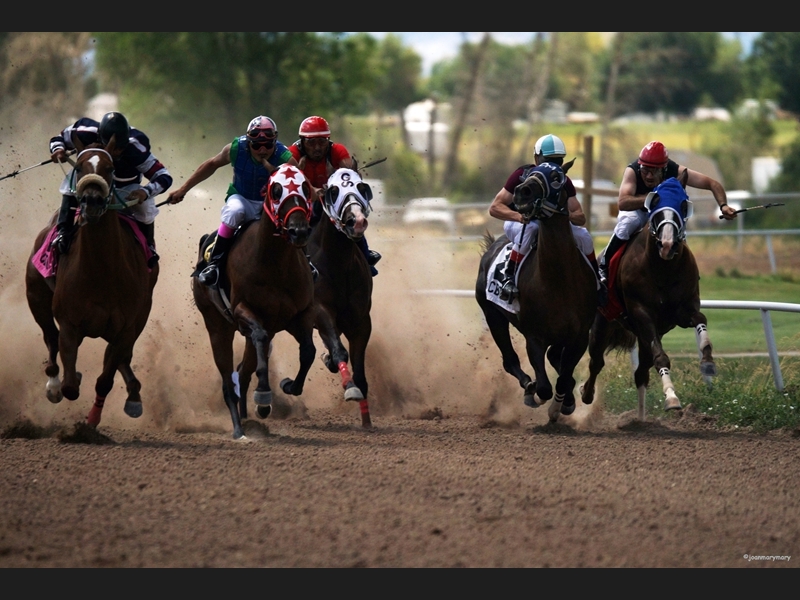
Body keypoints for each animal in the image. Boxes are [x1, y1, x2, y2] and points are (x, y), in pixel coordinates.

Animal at [24, 139, 159, 426]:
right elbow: (70, 386)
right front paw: (64, 383)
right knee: (51, 338)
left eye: (110, 168)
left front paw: (93, 419)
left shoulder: (124, 328)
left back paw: (133, 395)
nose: (93, 202)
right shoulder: (69, 323)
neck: (101, 272)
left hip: (141, 315)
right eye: (79, 166)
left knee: (123, 356)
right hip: (36, 298)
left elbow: (105, 379)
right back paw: (53, 383)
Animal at [193, 164, 316, 440]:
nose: (299, 231)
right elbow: (260, 339)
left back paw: (248, 418)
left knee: (242, 371)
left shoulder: (296, 316)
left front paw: (289, 385)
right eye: (276, 190)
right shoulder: (244, 312)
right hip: (217, 326)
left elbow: (309, 351)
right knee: (229, 380)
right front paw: (263, 396)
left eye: (306, 187)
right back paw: (239, 429)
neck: (275, 264)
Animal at [306, 166, 376, 428]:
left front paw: (366, 420)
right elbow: (339, 351)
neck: (338, 263)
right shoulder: (320, 310)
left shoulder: (361, 320)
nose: (357, 220)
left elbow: (359, 369)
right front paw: (350, 387)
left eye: (362, 187)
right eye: (334, 191)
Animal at [476, 161, 600, 422]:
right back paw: (528, 385)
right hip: (493, 315)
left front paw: (565, 403)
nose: (522, 192)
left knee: (555, 360)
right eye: (527, 174)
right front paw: (537, 395)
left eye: (556, 176)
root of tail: (492, 246)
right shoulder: (534, 336)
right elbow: (544, 386)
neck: (559, 280)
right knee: (509, 359)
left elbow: (564, 377)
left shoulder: (579, 335)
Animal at [580, 170, 716, 422]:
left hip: (643, 336)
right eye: (655, 203)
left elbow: (700, 319)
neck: (662, 269)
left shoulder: (682, 309)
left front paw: (708, 362)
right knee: (596, 362)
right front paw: (671, 397)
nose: (667, 244)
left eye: (683, 204)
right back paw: (583, 395)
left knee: (640, 372)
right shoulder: (642, 313)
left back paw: (641, 418)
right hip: (603, 324)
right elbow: (661, 357)